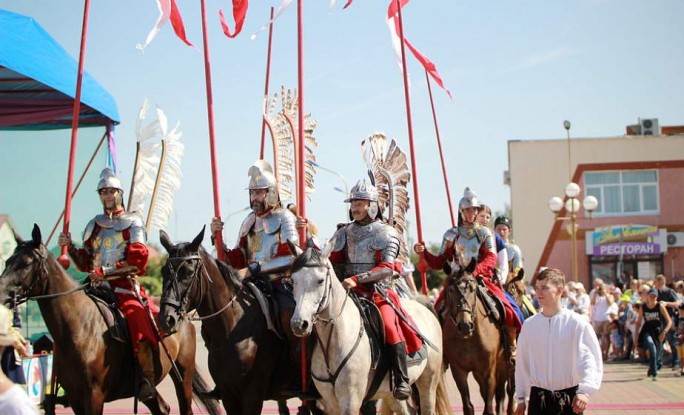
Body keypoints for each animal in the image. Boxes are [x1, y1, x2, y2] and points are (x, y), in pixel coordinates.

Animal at [0, 224, 219, 415]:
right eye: (8, 261)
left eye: (26, 263)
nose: (1, 293)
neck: (78, 327)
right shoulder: (76, 399)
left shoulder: (94, 397)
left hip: (183, 375)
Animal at [158, 228, 320, 415]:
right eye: (163, 271)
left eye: (189, 272)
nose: (166, 319)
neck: (231, 329)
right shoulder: (229, 395)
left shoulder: (252, 394)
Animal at [286, 242, 452, 414]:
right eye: (293, 281)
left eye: (320, 280)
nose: (299, 324)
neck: (335, 337)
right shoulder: (331, 403)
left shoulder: (350, 400)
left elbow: (386, 266)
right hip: (390, 393)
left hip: (429, 381)